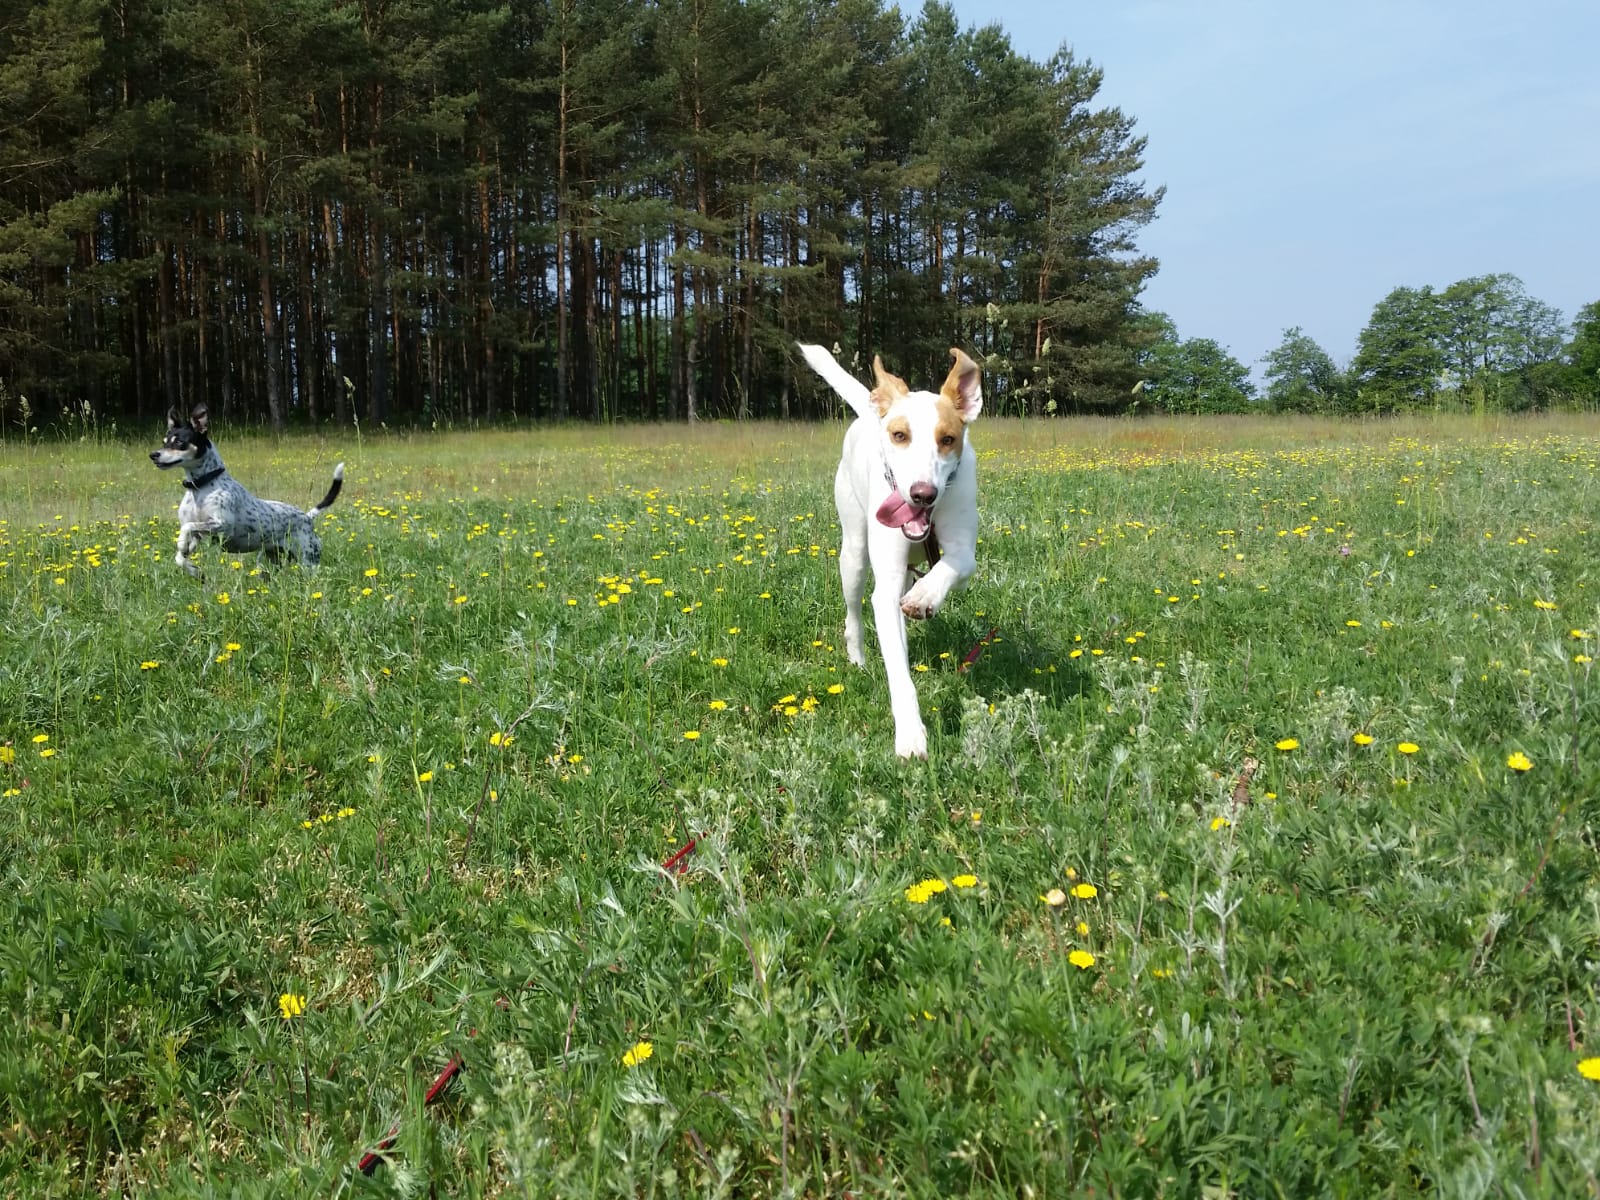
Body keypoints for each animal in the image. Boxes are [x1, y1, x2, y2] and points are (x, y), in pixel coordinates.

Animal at [150, 403, 344, 576]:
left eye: (179, 442)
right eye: (164, 442)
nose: (153, 455)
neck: (201, 488)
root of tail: (307, 517)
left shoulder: (222, 525)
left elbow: (187, 527)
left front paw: (181, 544)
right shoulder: (199, 536)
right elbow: (180, 557)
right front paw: (194, 570)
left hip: (308, 561)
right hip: (269, 561)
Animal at [799, 342, 983, 758]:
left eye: (948, 439)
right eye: (900, 435)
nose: (922, 493)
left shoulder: (962, 545)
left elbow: (956, 562)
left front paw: (926, 595)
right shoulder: (885, 588)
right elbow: (899, 674)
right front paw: (911, 736)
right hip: (853, 553)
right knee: (854, 613)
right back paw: (858, 659)